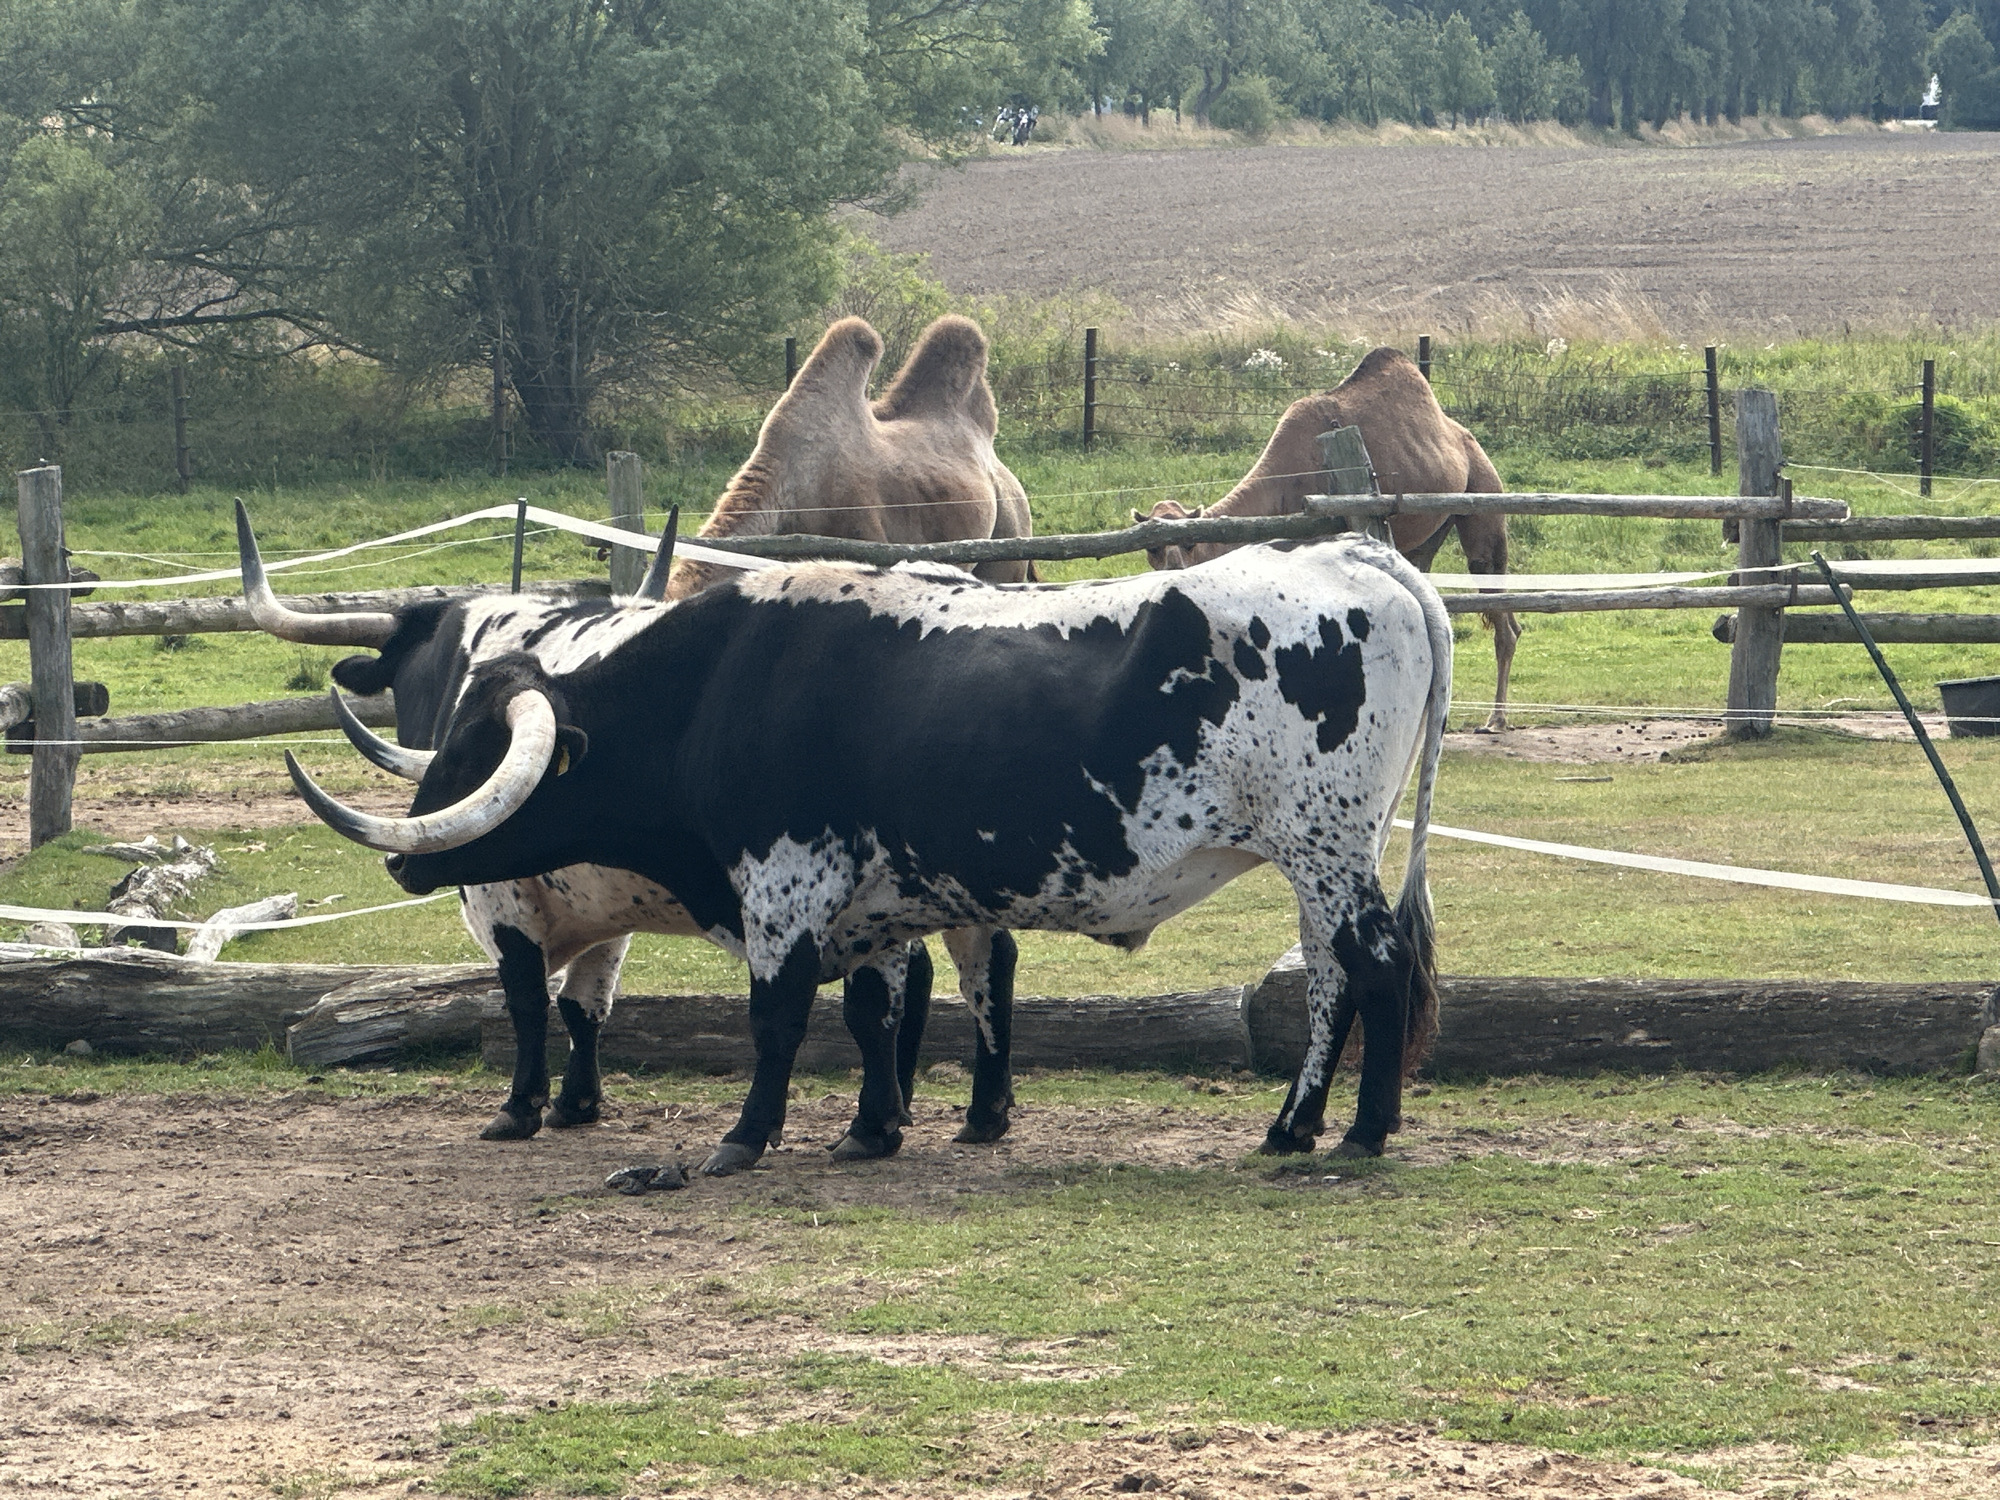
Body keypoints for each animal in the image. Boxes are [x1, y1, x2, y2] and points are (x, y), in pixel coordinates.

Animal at [234, 504, 1003, 1160]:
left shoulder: (501, 900)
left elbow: (525, 999)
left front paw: (521, 1107)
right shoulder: (603, 903)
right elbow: (585, 1004)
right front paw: (577, 1102)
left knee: (906, 986)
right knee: (974, 968)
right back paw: (963, 1112)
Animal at [281, 536, 1452, 1177]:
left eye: (480, 751)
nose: (404, 863)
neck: (712, 689)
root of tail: (1354, 555)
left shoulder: (784, 886)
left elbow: (777, 1019)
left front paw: (743, 1139)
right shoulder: (873, 904)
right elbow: (875, 1014)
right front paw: (871, 1130)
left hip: (1325, 844)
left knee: (1376, 968)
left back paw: (1361, 1134)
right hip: (1325, 856)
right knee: (1330, 980)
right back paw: (1293, 1126)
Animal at [1137, 345, 1518, 732]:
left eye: (1188, 543)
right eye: (1151, 546)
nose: (1170, 569)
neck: (1283, 486)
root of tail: (1464, 437)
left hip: (1483, 493)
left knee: (1498, 599)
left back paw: (1496, 719)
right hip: (1433, 529)